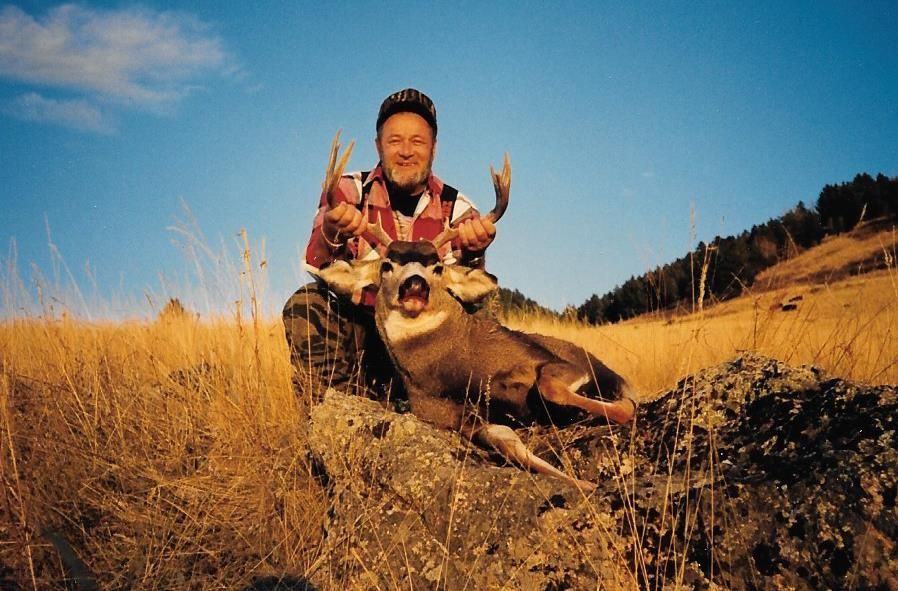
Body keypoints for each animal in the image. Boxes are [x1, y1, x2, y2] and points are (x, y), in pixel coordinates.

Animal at [313, 133, 637, 490]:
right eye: (387, 265)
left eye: (437, 267)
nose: (415, 285)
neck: (453, 366)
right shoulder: (462, 420)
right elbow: (510, 446)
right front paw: (585, 486)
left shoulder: (553, 364)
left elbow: (563, 391)